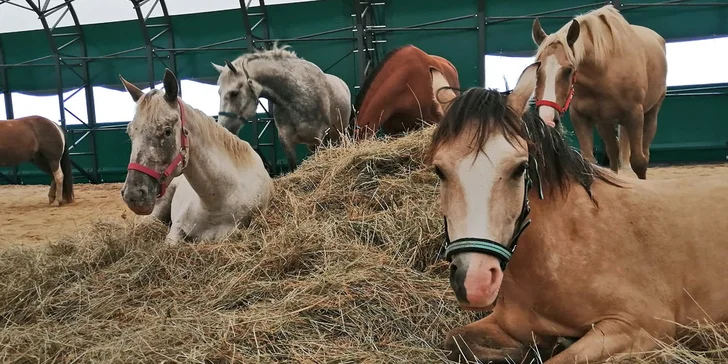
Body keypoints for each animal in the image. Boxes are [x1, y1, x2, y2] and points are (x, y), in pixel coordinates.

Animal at [213, 42, 352, 173]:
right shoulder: (287, 142)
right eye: (218, 92)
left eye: (234, 93)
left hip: (339, 133)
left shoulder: (320, 138)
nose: (223, 127)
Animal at [426, 63, 728, 364]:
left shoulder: (640, 327)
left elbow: (559, 359)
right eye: (439, 170)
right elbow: (455, 340)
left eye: (520, 168)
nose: (474, 282)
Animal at [528, 4, 664, 180]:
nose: (547, 118)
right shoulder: (580, 117)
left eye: (569, 70)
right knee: (613, 152)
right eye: (537, 68)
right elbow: (589, 161)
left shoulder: (635, 115)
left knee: (643, 153)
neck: (604, 69)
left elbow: (639, 162)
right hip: (604, 122)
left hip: (650, 114)